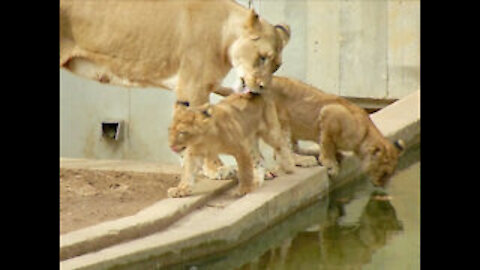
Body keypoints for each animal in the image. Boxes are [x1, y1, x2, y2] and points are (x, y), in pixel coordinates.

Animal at [59, 0, 288, 173]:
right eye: (262, 57)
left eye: (276, 66)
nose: (261, 87)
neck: (225, 36)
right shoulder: (194, 87)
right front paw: (216, 170)